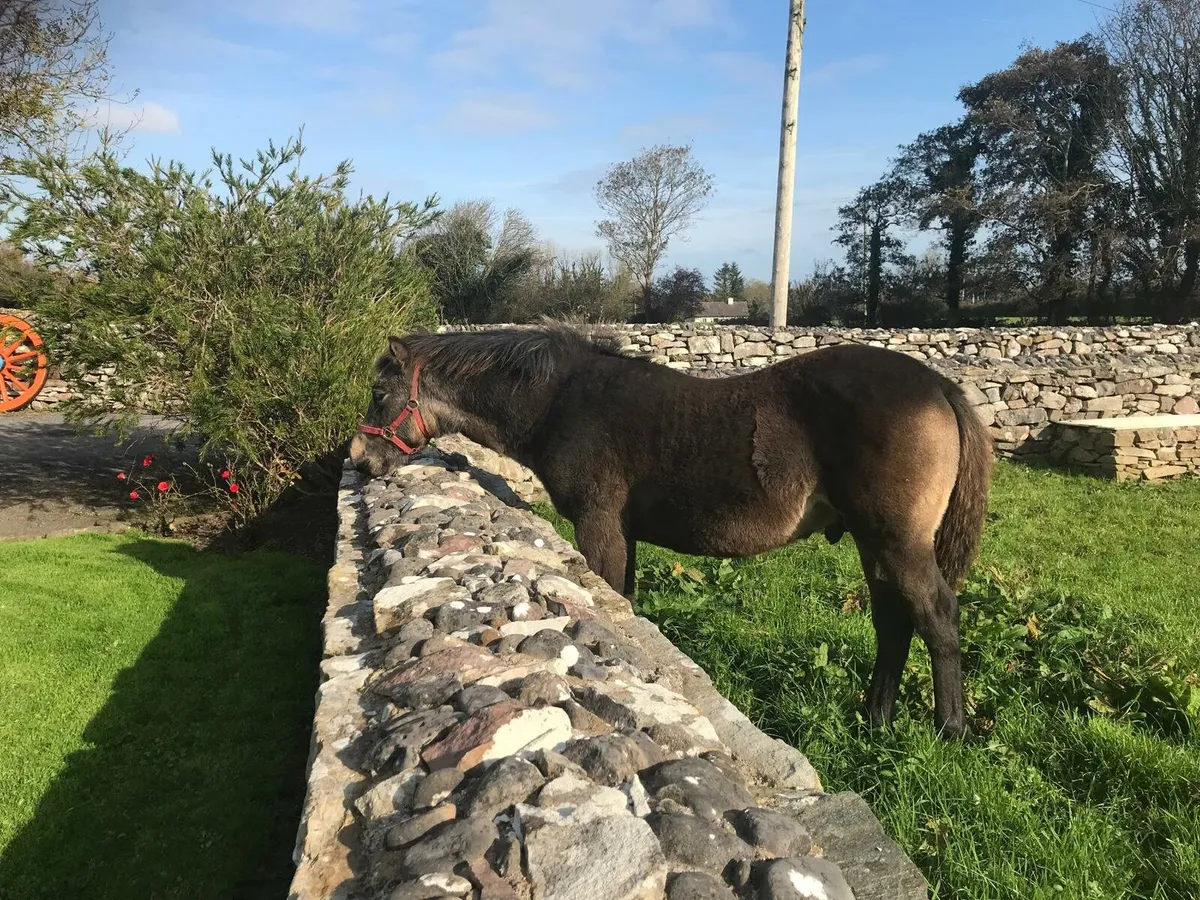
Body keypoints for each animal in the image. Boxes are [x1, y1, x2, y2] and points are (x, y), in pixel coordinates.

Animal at [348, 325, 993, 739]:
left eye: (380, 393)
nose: (359, 457)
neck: (559, 402)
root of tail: (939, 385)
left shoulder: (600, 526)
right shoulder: (625, 535)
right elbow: (624, 602)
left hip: (897, 542)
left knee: (937, 616)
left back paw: (950, 731)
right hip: (874, 543)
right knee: (893, 622)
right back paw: (876, 720)